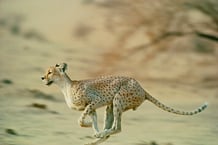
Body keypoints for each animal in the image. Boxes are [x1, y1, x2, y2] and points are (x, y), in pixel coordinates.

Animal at [41, 62, 208, 145]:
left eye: (50, 72)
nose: (42, 78)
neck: (64, 86)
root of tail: (142, 88)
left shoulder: (95, 101)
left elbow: (80, 120)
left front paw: (89, 127)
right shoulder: (92, 107)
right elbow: (91, 120)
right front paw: (94, 129)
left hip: (117, 99)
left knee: (117, 128)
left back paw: (100, 134)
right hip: (111, 106)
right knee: (111, 130)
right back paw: (95, 139)